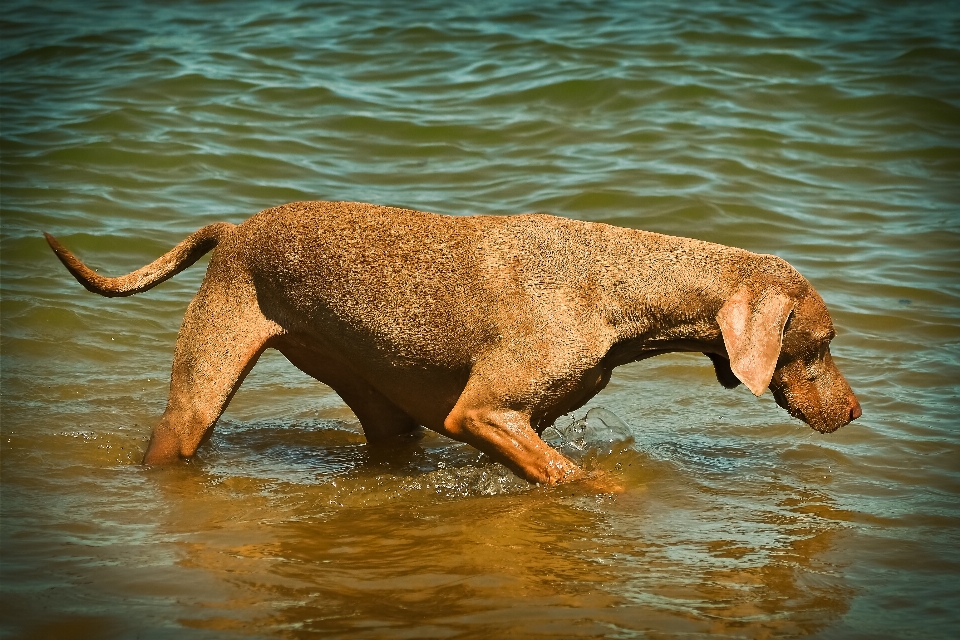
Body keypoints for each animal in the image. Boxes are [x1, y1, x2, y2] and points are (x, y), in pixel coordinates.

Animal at [45, 202, 864, 482]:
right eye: (822, 343)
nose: (857, 413)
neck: (618, 287)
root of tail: (234, 229)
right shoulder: (480, 412)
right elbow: (577, 480)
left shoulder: (511, 420)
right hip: (198, 398)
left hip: (379, 401)